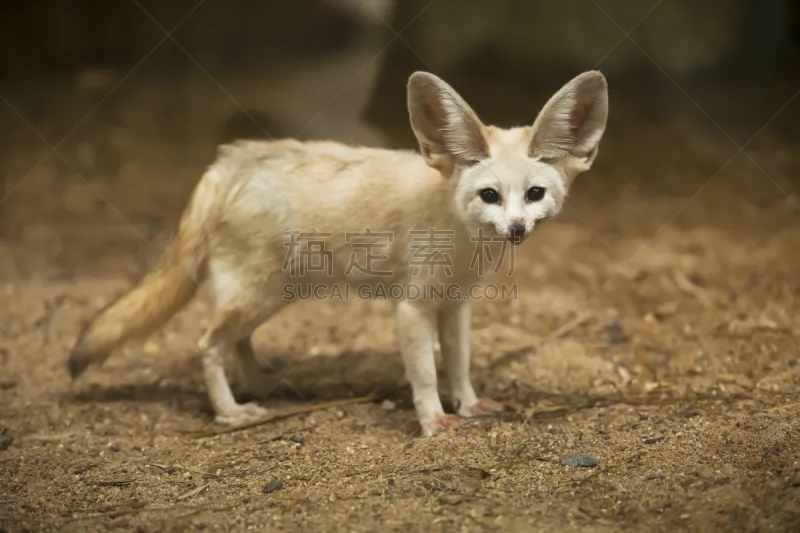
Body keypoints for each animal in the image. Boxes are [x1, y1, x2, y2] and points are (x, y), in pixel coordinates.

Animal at [69, 70, 608, 436]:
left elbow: (458, 364)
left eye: (534, 194)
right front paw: (433, 421)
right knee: (207, 345)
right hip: (258, 294)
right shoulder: (413, 307)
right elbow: (425, 373)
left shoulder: (456, 305)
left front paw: (469, 404)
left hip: (272, 295)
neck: (459, 236)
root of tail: (225, 163)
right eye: (490, 195)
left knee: (235, 341)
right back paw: (230, 411)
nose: (516, 229)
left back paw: (258, 384)